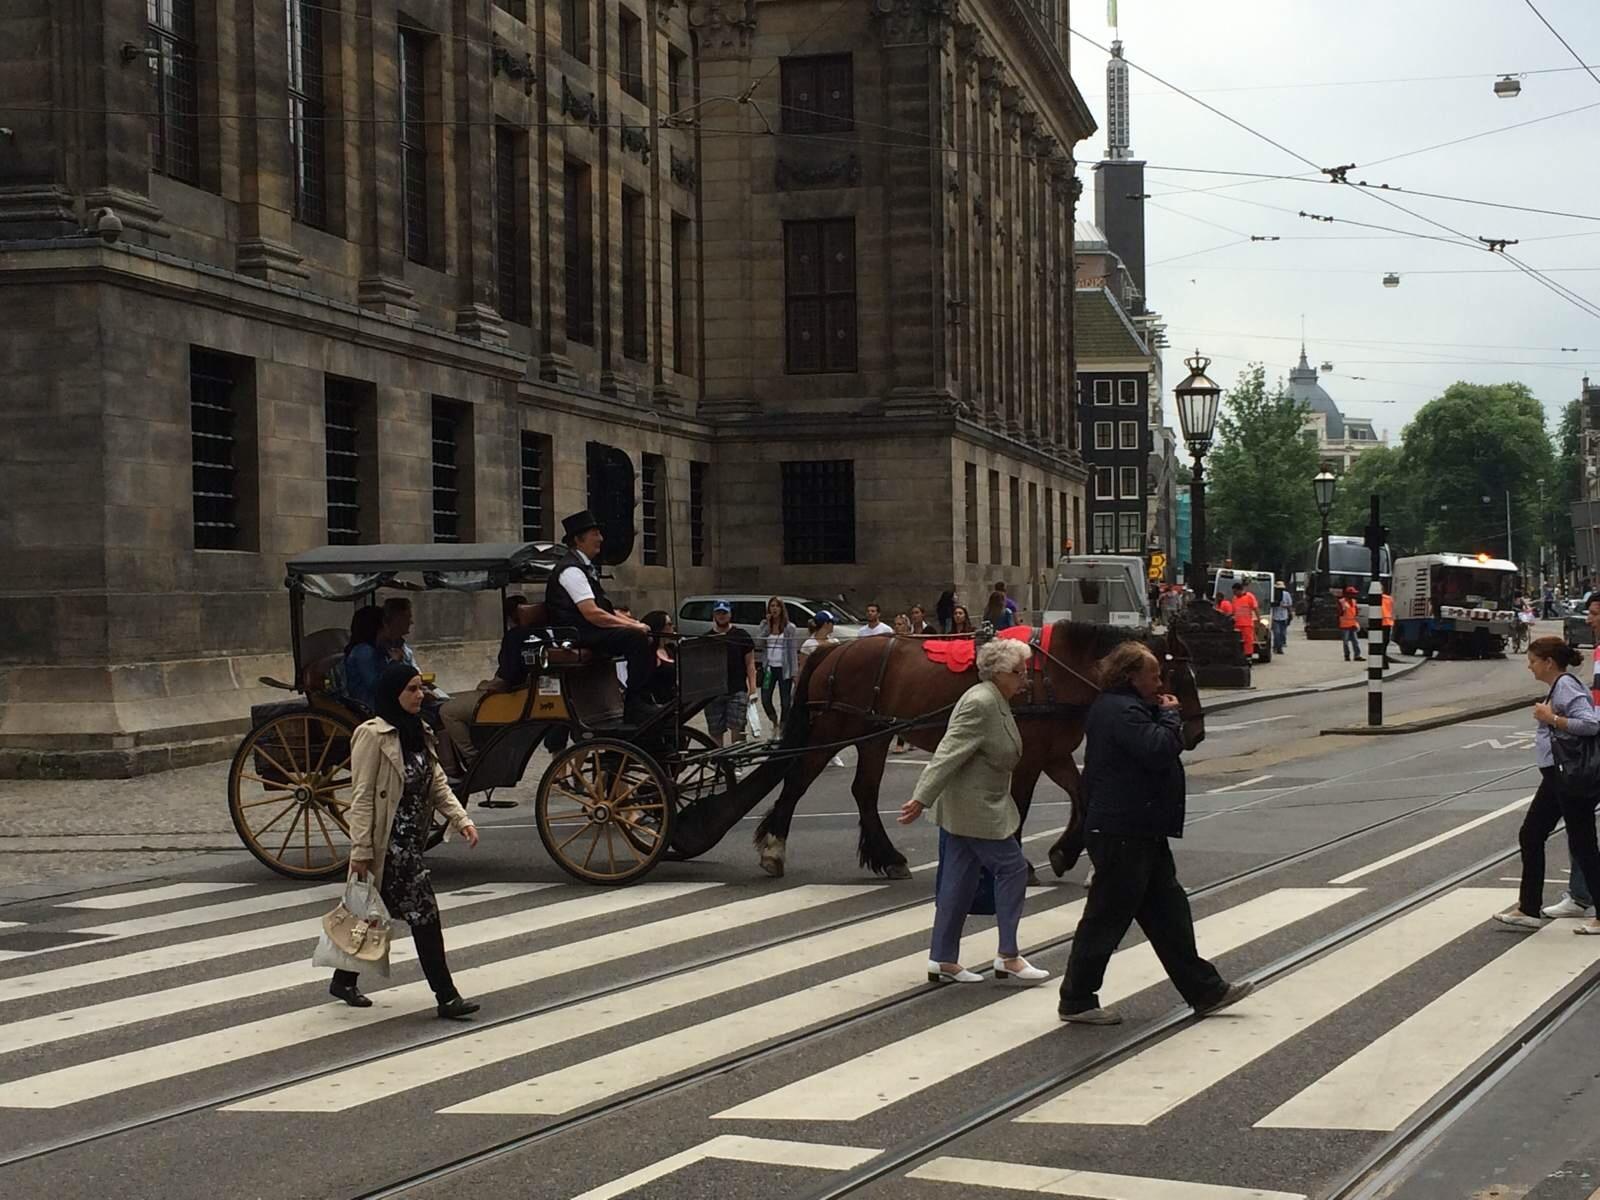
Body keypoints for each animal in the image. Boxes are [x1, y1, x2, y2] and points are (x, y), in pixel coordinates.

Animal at [668, 624, 1203, 876]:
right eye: (1175, 673)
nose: (1194, 732)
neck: (1055, 671)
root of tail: (833, 649)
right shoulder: (1030, 756)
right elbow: (1020, 806)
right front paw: (1023, 860)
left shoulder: (1053, 754)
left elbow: (1084, 799)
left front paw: (1064, 853)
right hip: (835, 730)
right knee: (798, 782)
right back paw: (775, 850)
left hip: (875, 735)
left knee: (863, 791)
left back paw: (887, 857)